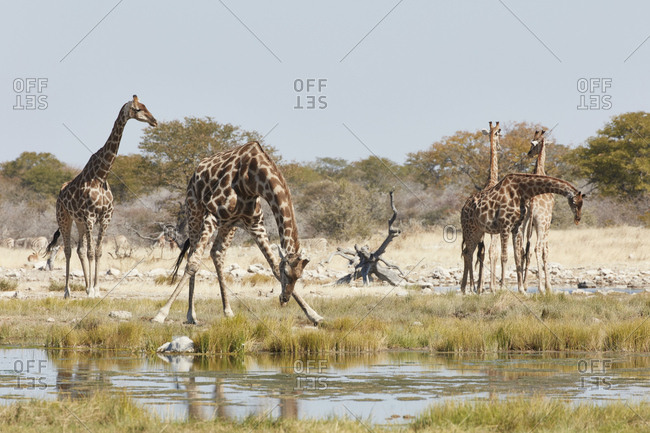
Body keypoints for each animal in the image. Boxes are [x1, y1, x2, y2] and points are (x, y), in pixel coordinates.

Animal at [45, 95, 157, 298]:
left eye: (146, 106)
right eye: (138, 109)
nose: (154, 121)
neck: (101, 175)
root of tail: (60, 193)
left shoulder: (105, 217)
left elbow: (97, 251)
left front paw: (95, 289)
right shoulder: (90, 216)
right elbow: (91, 252)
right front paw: (91, 291)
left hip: (79, 221)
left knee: (79, 249)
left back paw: (85, 286)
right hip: (64, 218)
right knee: (68, 250)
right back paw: (67, 291)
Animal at [152, 141, 323, 325]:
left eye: (299, 276)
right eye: (287, 273)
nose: (284, 299)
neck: (252, 180)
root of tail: (196, 171)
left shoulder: (255, 225)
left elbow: (273, 265)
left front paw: (314, 315)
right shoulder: (213, 215)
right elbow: (193, 264)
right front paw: (160, 314)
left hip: (229, 224)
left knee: (217, 253)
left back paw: (227, 311)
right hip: (195, 210)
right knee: (192, 254)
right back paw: (191, 314)